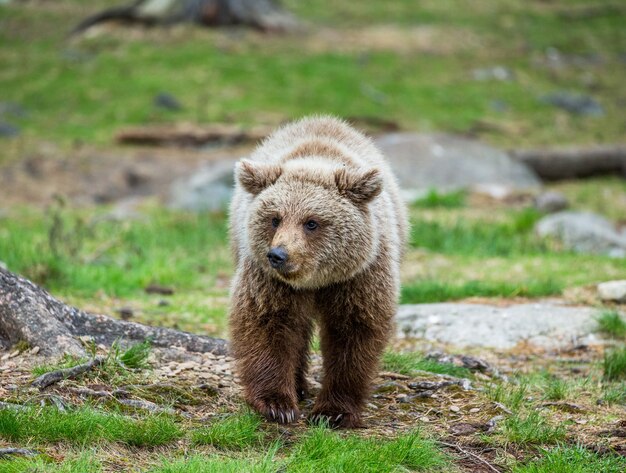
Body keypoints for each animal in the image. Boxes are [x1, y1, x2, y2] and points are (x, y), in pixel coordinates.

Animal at [227, 115, 408, 428]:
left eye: (311, 222)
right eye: (275, 218)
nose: (278, 255)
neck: (316, 280)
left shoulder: (360, 276)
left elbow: (353, 332)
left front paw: (333, 410)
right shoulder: (267, 279)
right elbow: (266, 322)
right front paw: (278, 404)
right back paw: (298, 386)